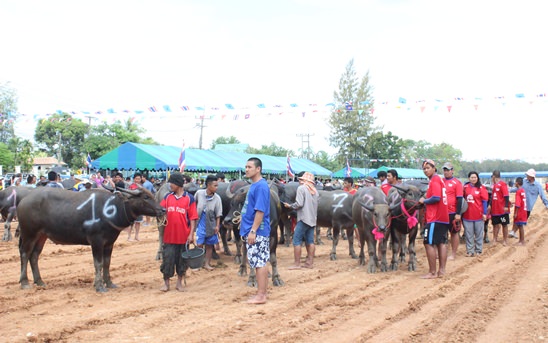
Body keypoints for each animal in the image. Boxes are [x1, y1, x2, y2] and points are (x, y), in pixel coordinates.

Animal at [18, 187, 166, 292]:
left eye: (152, 195)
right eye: (146, 197)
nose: (163, 210)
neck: (112, 209)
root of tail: (23, 200)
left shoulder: (109, 243)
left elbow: (107, 263)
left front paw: (109, 283)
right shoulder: (96, 242)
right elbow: (98, 263)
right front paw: (99, 286)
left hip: (42, 236)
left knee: (34, 256)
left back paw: (39, 281)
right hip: (29, 234)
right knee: (25, 254)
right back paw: (24, 282)